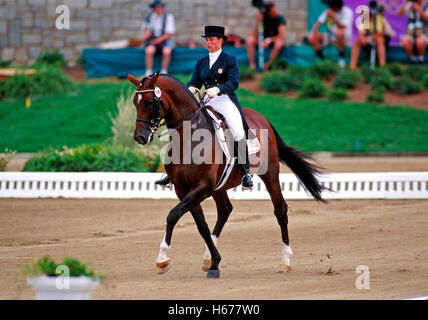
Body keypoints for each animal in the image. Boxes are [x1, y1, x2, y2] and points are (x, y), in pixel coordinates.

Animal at [127, 72, 324, 278]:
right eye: (135, 102)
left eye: (149, 102)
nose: (140, 137)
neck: (189, 136)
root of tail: (261, 117)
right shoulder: (184, 189)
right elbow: (201, 225)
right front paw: (214, 262)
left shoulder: (202, 187)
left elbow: (173, 215)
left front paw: (162, 259)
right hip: (219, 186)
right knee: (225, 210)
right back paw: (208, 258)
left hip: (269, 173)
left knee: (280, 209)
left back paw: (285, 260)